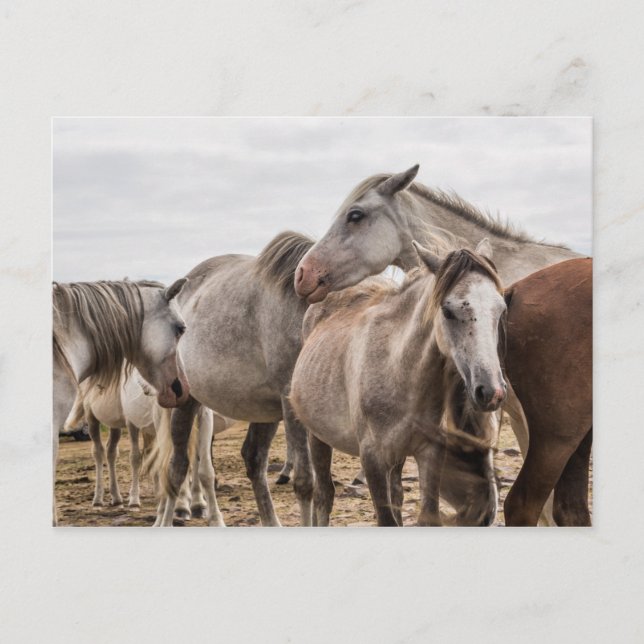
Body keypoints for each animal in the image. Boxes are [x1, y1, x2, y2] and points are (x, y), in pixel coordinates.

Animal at [52, 278, 190, 524]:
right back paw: (99, 498)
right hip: (92, 421)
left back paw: (116, 497)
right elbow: (137, 457)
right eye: (181, 328)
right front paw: (136, 500)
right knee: (99, 453)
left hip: (115, 427)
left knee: (111, 453)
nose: (182, 389)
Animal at [157, 232, 316, 526]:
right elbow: (306, 481)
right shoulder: (293, 404)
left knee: (253, 460)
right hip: (186, 402)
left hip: (265, 411)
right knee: (177, 468)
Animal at [290, 240, 507, 527]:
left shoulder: (430, 453)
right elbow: (386, 518)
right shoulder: (372, 459)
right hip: (317, 437)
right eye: (448, 311)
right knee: (324, 495)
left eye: (501, 309)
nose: (491, 391)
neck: (397, 368)